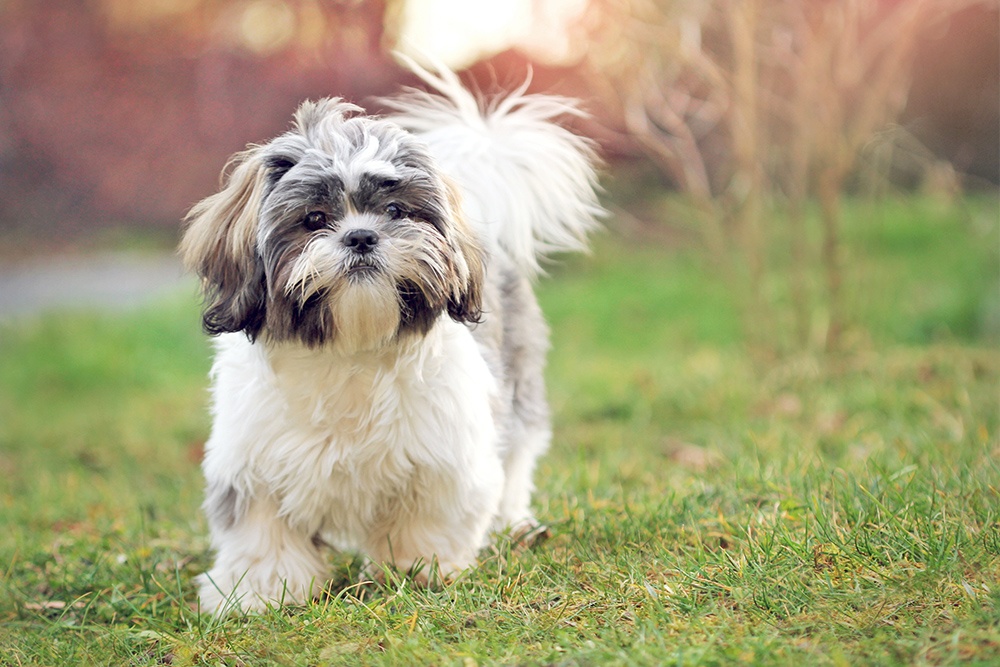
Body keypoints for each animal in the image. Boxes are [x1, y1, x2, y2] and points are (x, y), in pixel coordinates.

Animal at [180, 64, 600, 616]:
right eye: (314, 220)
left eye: (397, 210)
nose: (361, 236)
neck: (350, 350)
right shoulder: (251, 462)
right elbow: (261, 534)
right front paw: (260, 592)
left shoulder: (445, 455)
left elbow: (428, 519)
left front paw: (418, 570)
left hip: (518, 390)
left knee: (516, 462)